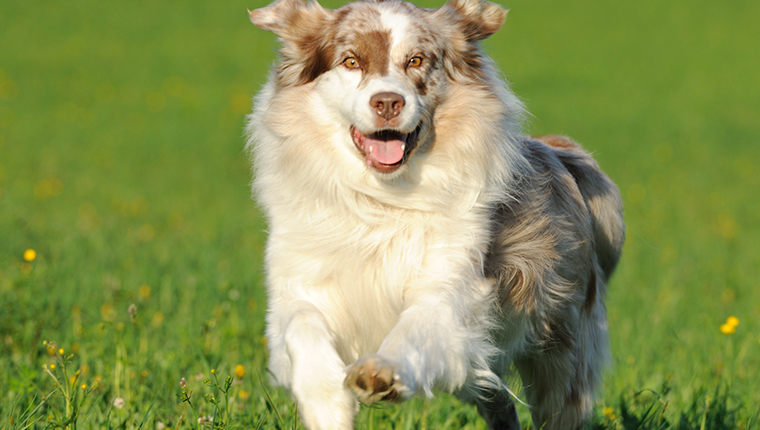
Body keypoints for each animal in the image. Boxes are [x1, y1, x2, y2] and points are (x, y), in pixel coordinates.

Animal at [246, 0, 628, 426]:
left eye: (416, 60)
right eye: (350, 61)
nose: (387, 102)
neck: (381, 202)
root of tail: (562, 153)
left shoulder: (451, 286)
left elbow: (413, 329)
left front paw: (379, 373)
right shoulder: (298, 281)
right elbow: (303, 326)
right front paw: (325, 403)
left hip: (563, 351)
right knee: (497, 398)